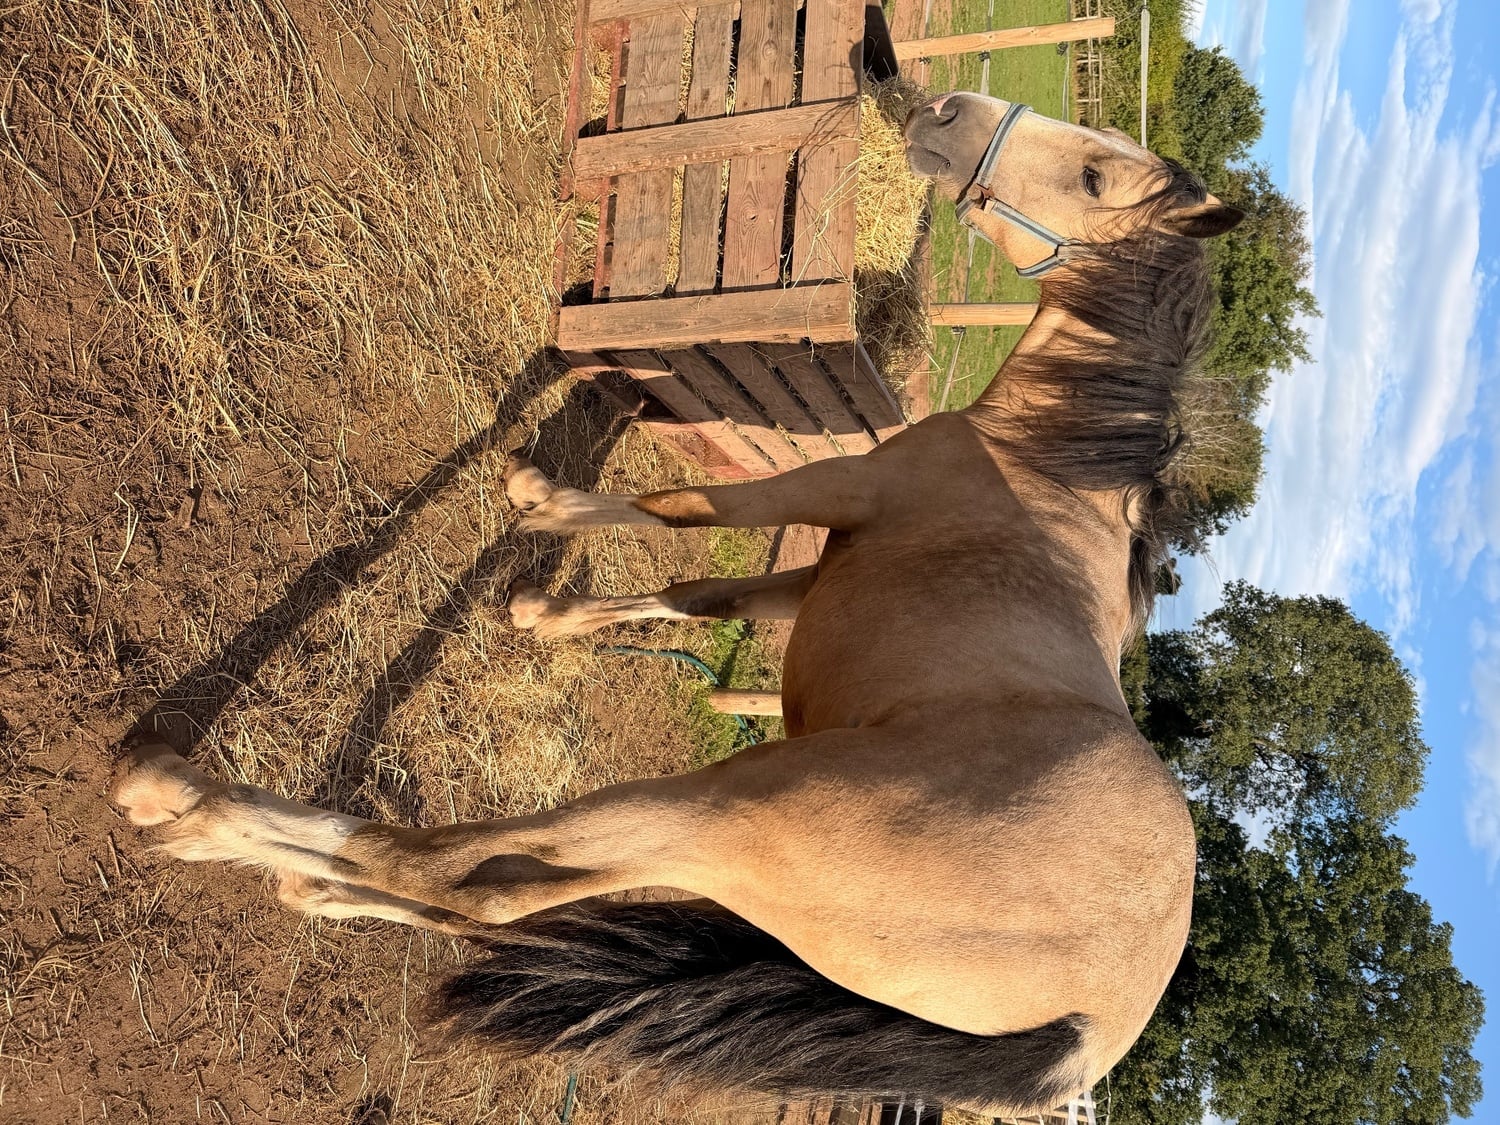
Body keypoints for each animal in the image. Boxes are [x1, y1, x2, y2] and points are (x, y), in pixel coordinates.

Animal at [111, 92, 1243, 1115]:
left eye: (1095, 175)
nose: (948, 110)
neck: (1049, 460)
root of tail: (1088, 1026)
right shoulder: (818, 572)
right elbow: (699, 592)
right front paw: (548, 613)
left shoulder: (831, 487)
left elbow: (685, 509)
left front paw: (541, 501)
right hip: (730, 871)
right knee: (505, 898)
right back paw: (309, 883)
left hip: (722, 817)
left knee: (451, 867)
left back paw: (188, 803)